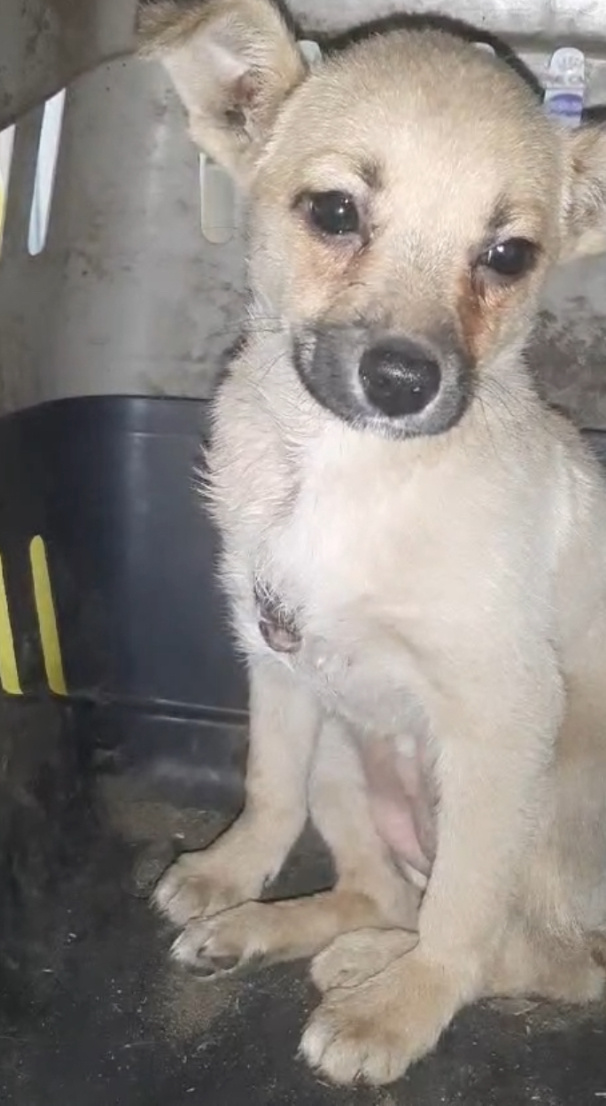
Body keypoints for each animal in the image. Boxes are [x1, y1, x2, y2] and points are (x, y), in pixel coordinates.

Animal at [139, 0, 606, 1086]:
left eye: (509, 255)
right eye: (335, 212)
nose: (402, 381)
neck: (352, 467)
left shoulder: (503, 715)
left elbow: (466, 914)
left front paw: (405, 1008)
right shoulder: (280, 662)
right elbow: (266, 789)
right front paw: (231, 872)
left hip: (555, 799)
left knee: (551, 956)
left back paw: (373, 972)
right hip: (347, 755)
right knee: (384, 887)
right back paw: (279, 929)